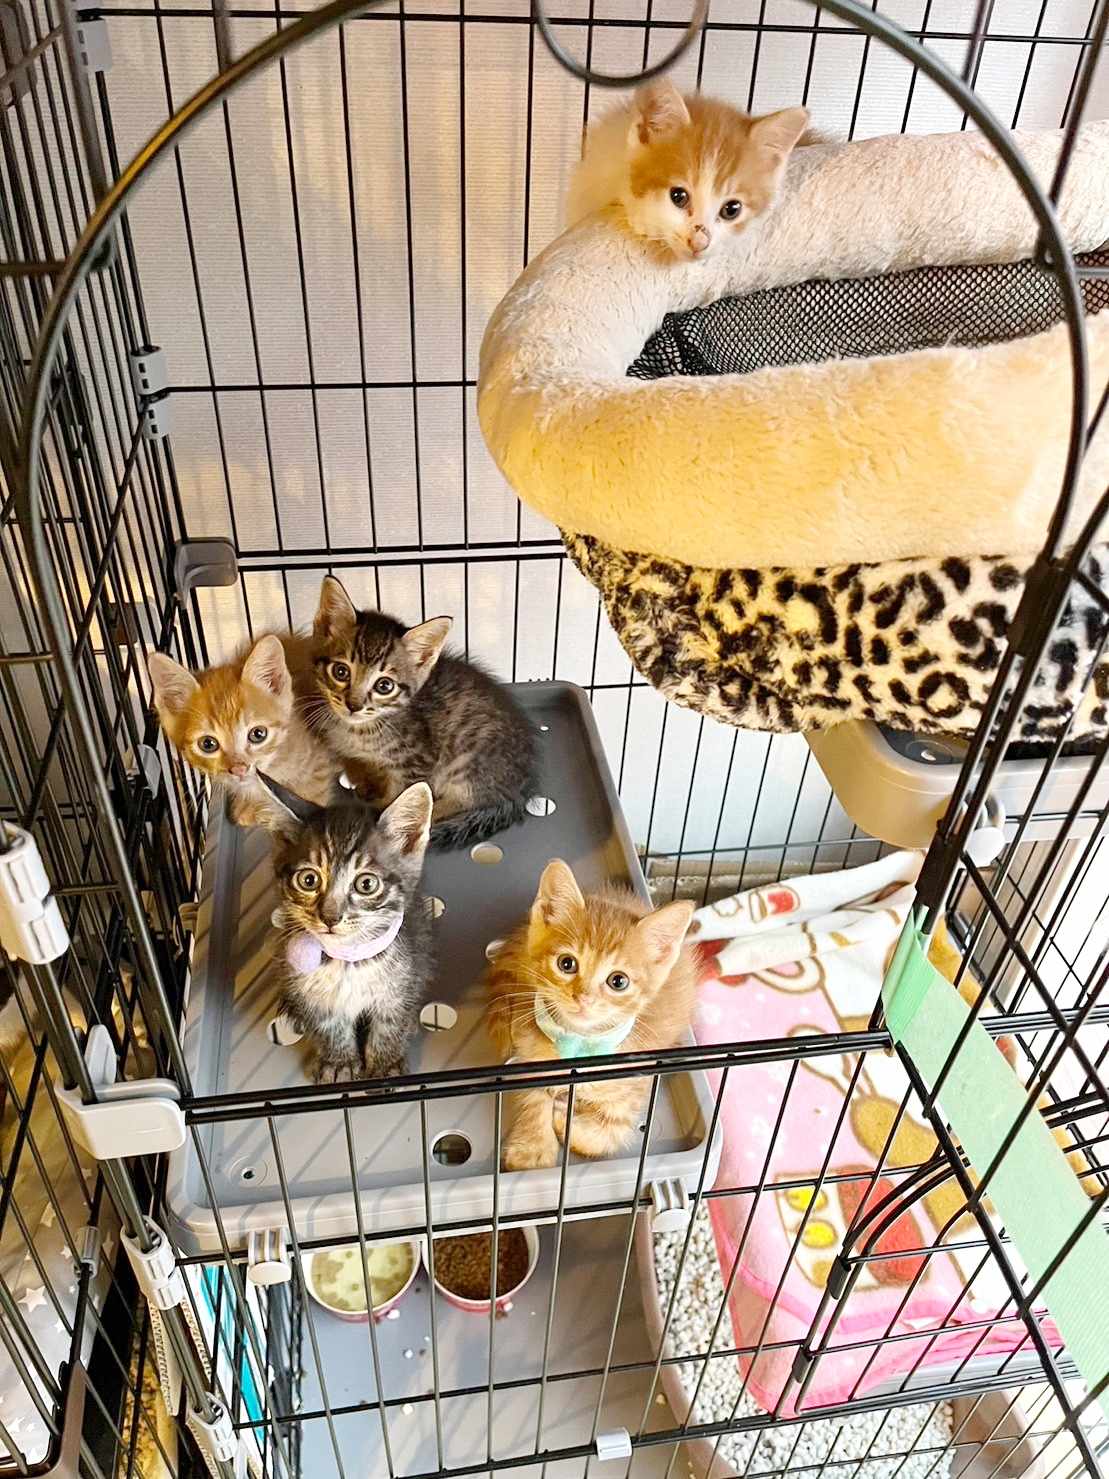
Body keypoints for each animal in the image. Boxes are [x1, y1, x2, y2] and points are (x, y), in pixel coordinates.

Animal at [259, 772, 434, 1083]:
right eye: (308, 880)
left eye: (366, 884)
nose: (330, 917)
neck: (348, 960)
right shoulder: (308, 989)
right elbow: (329, 1025)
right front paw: (339, 1061)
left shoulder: (404, 979)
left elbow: (390, 1022)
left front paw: (385, 1065)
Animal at [305, 576, 538, 850]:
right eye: (340, 672)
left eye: (384, 686)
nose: (353, 705)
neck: (361, 729)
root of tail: (522, 788)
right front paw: (368, 786)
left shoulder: (416, 764)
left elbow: (404, 796)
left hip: (466, 760)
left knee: (469, 799)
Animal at [485, 859, 697, 1170]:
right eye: (566, 964)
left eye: (618, 981)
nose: (583, 997)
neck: (578, 1044)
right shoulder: (525, 1051)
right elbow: (533, 1096)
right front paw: (533, 1147)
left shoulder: (636, 1083)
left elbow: (608, 1132)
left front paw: (563, 1116)